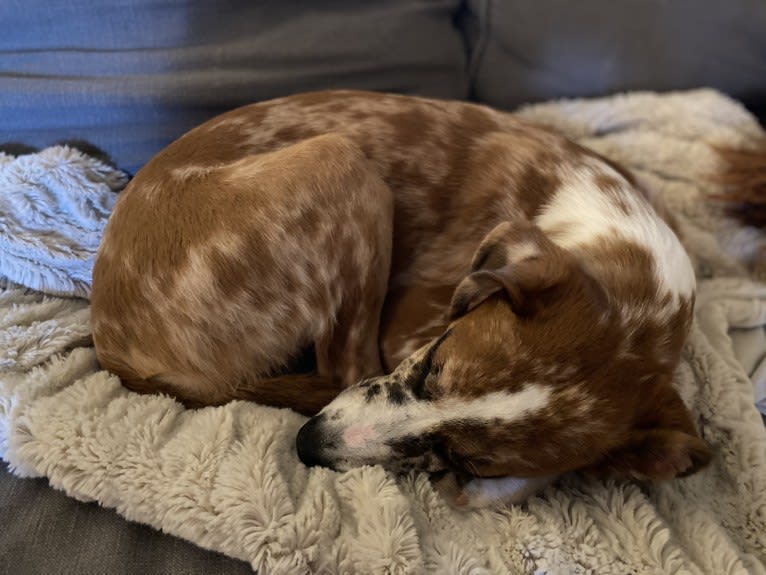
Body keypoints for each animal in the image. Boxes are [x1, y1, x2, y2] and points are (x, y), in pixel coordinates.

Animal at [90, 90, 712, 508]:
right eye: (434, 360)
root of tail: (113, 344)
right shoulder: (406, 326)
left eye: (468, 458)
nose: (309, 445)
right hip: (343, 167)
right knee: (342, 366)